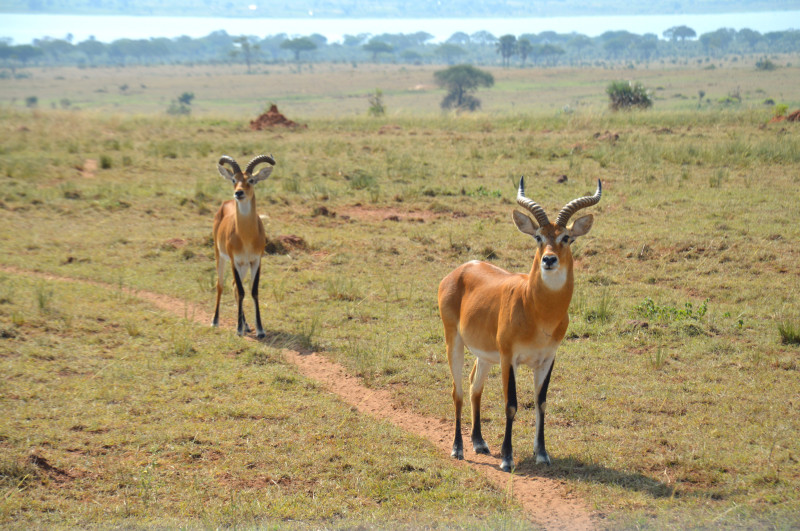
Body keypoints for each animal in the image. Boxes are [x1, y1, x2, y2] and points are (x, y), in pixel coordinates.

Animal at [211, 154, 276, 338]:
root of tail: (226, 203)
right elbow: (241, 290)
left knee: (233, 285)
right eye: (234, 179)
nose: (238, 193)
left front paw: (260, 329)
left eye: (251, 180)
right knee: (220, 285)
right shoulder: (235, 261)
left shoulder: (256, 260)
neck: (246, 237)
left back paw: (246, 325)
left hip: (244, 265)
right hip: (220, 256)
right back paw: (216, 321)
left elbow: (253, 290)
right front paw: (238, 329)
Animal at [438, 177, 600, 472]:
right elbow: (511, 404)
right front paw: (507, 458)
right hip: (453, 341)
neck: (537, 311)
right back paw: (458, 448)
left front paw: (542, 454)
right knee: (458, 390)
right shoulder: (509, 358)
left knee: (474, 386)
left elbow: (541, 402)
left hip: (485, 355)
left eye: (566, 237)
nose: (549, 260)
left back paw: (479, 443)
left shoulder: (547, 359)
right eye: (538, 237)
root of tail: (459, 270)